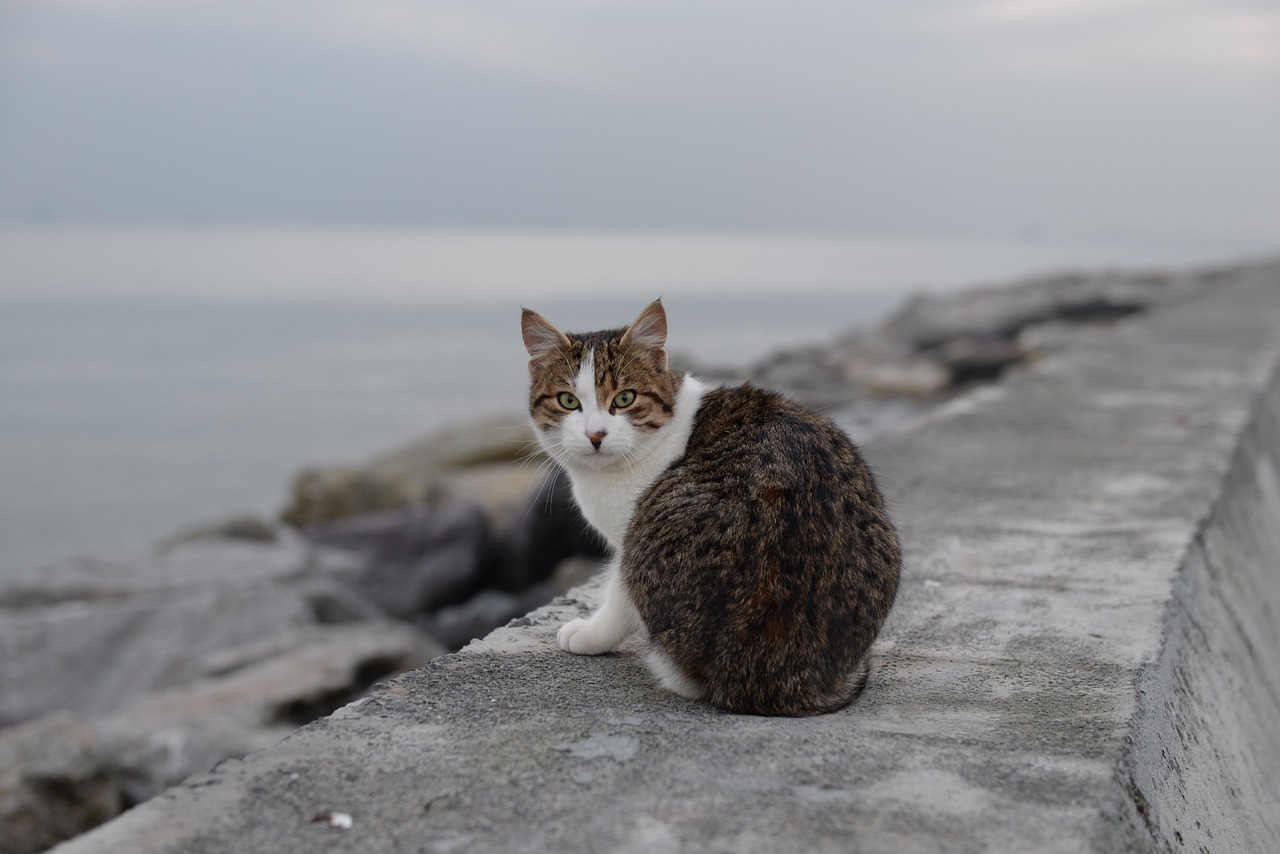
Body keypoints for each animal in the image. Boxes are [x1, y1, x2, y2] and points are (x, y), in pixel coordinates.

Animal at [519, 300, 901, 717]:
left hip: (651, 538)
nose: (595, 435)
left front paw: (591, 634)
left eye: (624, 399)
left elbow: (619, 600)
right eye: (568, 401)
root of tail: (787, 682)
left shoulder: (628, 540)